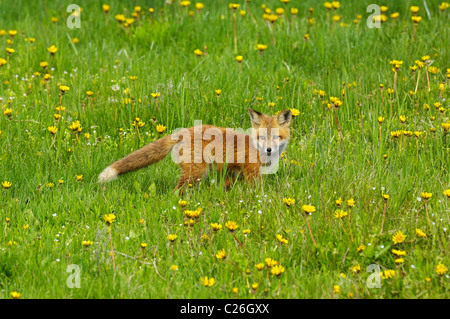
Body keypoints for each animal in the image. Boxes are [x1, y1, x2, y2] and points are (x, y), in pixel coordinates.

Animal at [97, 109, 292, 191]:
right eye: (262, 137)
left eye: (277, 137)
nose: (269, 150)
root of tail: (185, 130)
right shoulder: (251, 173)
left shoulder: (233, 173)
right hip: (196, 172)